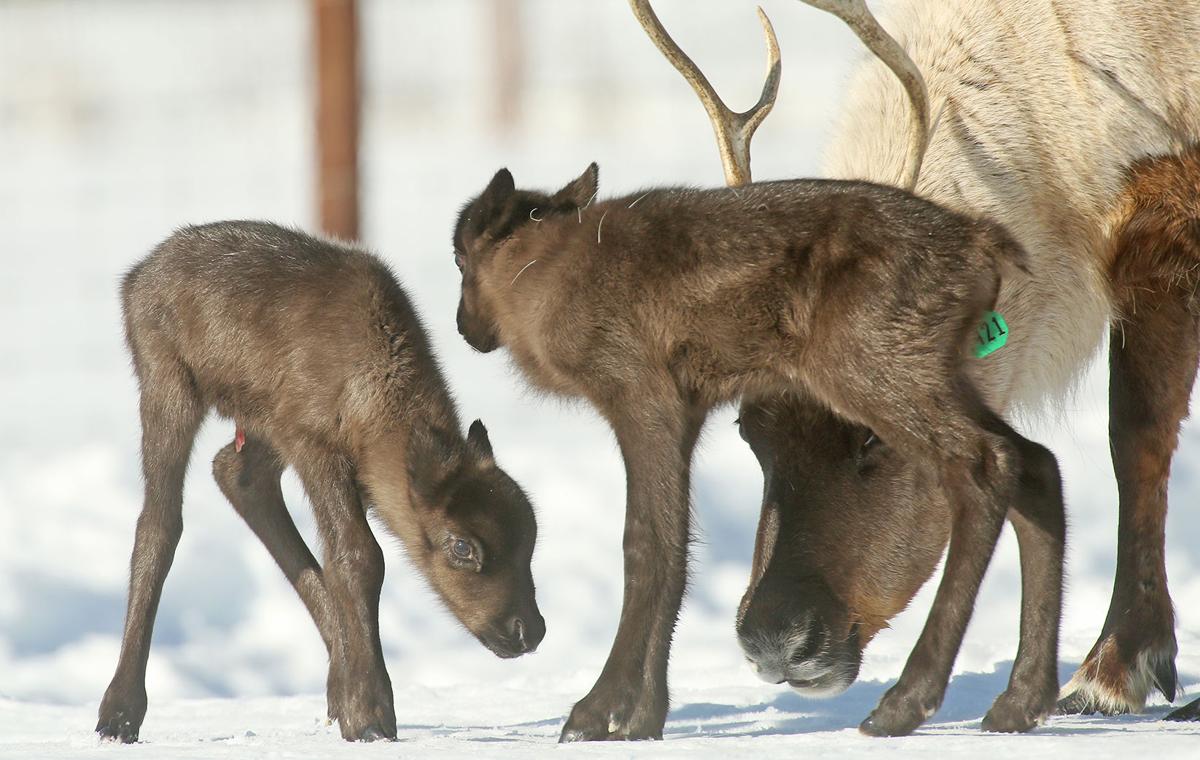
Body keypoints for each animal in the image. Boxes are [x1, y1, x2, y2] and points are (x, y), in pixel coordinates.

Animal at [96, 221, 545, 744]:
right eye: (461, 546)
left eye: (531, 539)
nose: (527, 630)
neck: (375, 392)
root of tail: (136, 277)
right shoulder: (315, 443)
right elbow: (357, 557)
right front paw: (371, 714)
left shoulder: (302, 438)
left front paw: (354, 699)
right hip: (168, 380)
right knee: (159, 521)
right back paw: (119, 713)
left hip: (260, 423)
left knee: (235, 473)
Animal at [451, 0, 1071, 736]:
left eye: (459, 257)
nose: (463, 328)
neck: (542, 282)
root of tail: (987, 246)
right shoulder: (690, 405)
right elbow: (677, 550)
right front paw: (646, 716)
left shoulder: (637, 386)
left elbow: (645, 548)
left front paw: (597, 712)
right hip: (944, 370)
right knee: (1036, 461)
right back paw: (1021, 698)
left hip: (875, 365)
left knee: (987, 463)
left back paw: (906, 700)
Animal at [631, 0, 1200, 726]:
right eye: (748, 431)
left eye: (872, 435)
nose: (774, 639)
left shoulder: (1161, 214)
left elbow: (1136, 441)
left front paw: (1113, 669)